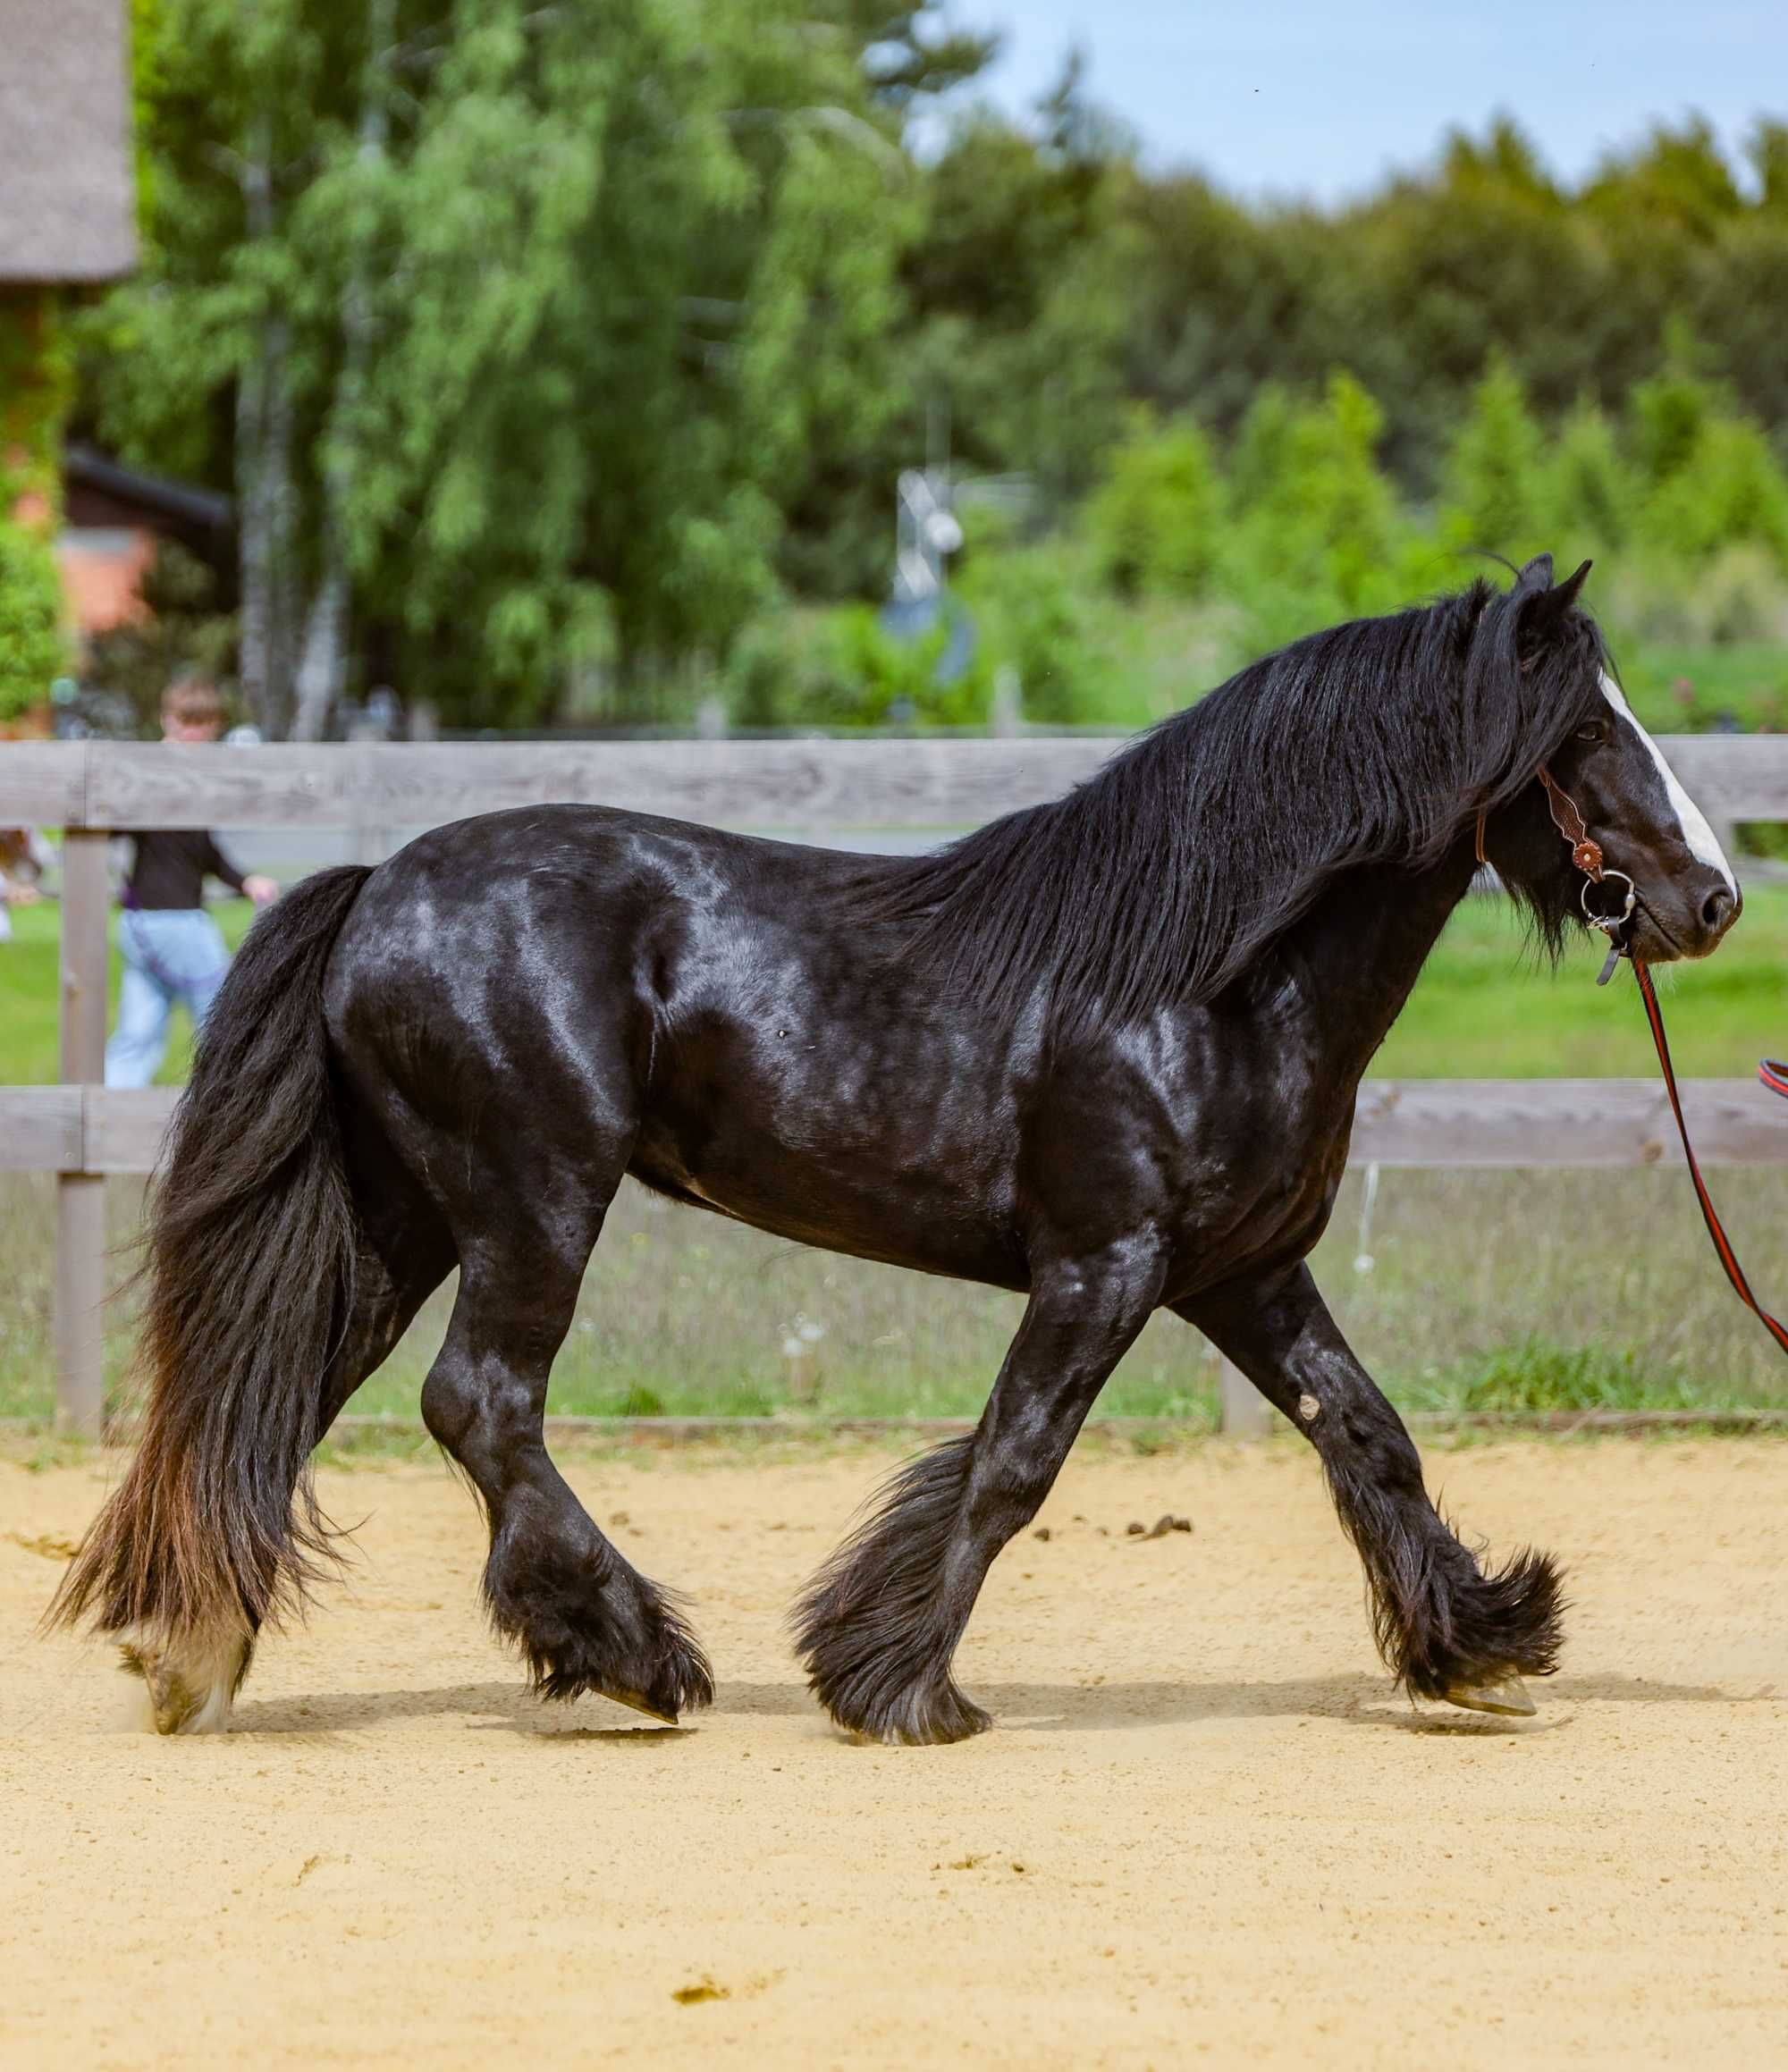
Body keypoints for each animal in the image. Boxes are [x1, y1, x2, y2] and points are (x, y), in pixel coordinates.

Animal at [52, 551, 1732, 1731]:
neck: (1206, 977)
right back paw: (634, 1652)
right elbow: (1012, 1462)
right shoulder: (1103, 1266)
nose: (1712, 898)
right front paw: (895, 1683)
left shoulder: (1242, 1274)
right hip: (531, 1204)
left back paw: (196, 1652)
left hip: (401, 1216)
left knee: (281, 1390)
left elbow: (1370, 1437)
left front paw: (1482, 1644)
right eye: (1589, 729)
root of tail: (377, 886)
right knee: (479, 1404)